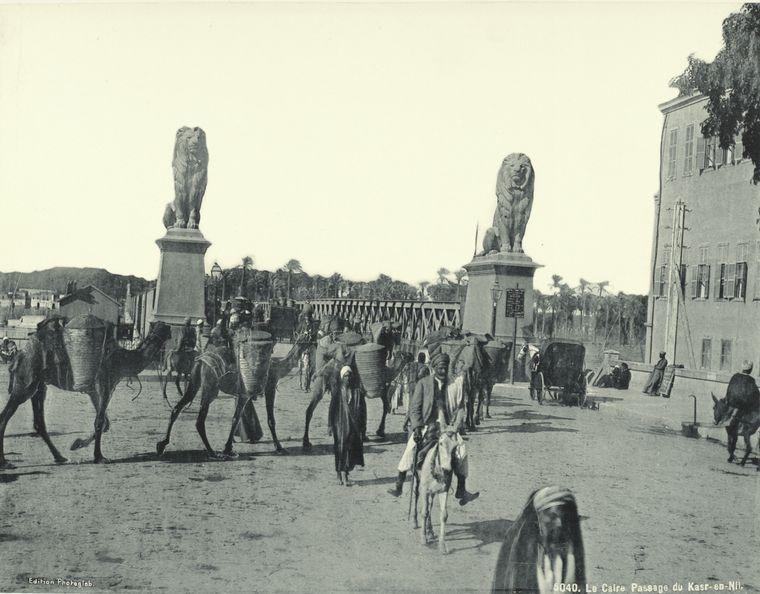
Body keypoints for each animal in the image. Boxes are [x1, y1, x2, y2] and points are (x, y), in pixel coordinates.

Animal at [1, 316, 171, 464]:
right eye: (164, 327)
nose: (169, 331)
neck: (121, 360)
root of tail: (18, 356)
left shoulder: (97, 390)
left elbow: (105, 423)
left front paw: (77, 444)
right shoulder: (104, 385)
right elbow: (100, 421)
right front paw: (99, 457)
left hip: (39, 385)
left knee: (39, 422)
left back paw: (60, 457)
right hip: (25, 384)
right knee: (6, 416)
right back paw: (5, 462)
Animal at [157, 324, 314, 458]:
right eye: (308, 336)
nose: (314, 344)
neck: (278, 367)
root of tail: (200, 360)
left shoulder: (243, 394)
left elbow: (236, 418)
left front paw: (230, 446)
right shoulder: (268, 387)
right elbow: (268, 420)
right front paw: (279, 447)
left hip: (195, 382)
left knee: (177, 408)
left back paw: (162, 445)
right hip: (210, 387)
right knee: (200, 420)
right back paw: (212, 452)